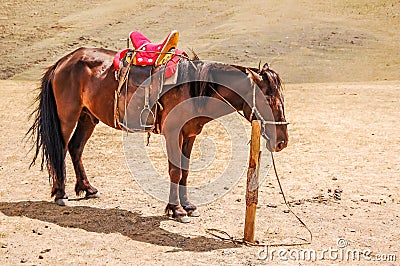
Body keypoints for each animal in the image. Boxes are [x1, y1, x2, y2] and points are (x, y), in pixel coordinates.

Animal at [28, 47, 290, 222]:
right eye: (267, 100)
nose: (282, 142)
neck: (194, 88)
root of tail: (63, 61)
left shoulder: (190, 134)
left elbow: (185, 170)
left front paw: (188, 206)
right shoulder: (173, 133)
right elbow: (175, 171)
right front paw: (176, 210)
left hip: (87, 116)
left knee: (76, 148)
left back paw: (88, 188)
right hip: (67, 115)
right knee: (61, 148)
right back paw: (60, 193)